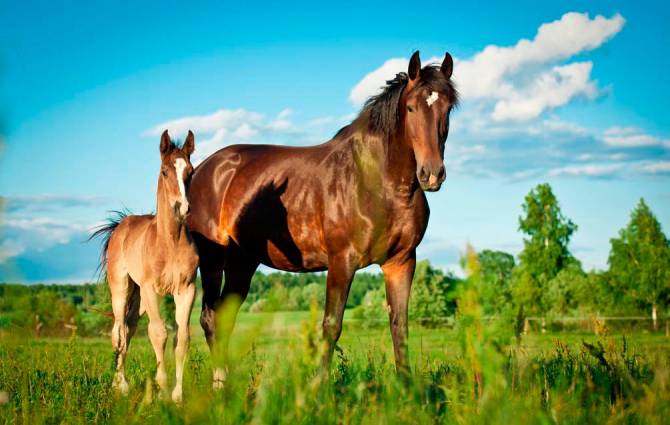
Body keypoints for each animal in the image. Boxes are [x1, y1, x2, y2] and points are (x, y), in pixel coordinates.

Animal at [93, 129, 201, 400]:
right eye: (164, 171)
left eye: (191, 171)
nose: (183, 208)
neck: (170, 242)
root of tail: (121, 225)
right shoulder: (152, 289)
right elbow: (158, 332)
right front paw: (161, 388)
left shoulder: (186, 290)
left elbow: (182, 337)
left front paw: (177, 395)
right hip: (122, 289)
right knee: (119, 331)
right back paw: (120, 385)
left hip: (139, 296)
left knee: (130, 327)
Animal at [189, 49, 460, 380]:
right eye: (410, 108)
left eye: (448, 108)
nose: (431, 174)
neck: (375, 181)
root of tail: (204, 170)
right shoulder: (342, 261)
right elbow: (331, 326)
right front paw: (319, 387)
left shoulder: (402, 262)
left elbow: (400, 326)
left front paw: (407, 386)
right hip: (213, 260)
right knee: (209, 317)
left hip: (244, 261)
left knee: (224, 317)